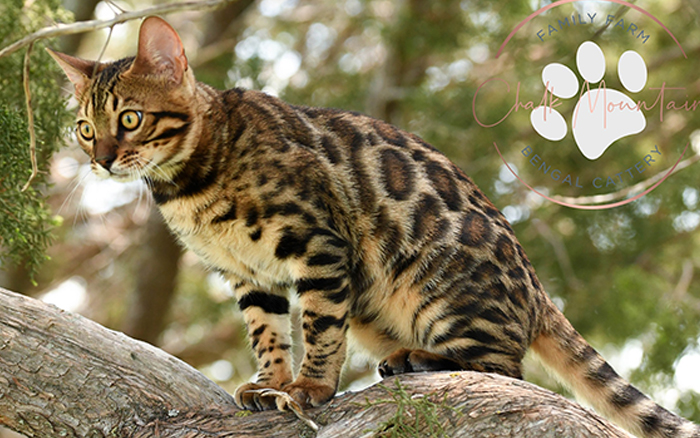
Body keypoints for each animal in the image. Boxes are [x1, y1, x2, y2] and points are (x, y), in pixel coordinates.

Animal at [50, 15, 700, 436]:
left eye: (130, 119)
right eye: (85, 128)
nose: (100, 159)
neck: (189, 186)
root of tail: (538, 291)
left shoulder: (318, 244)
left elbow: (318, 327)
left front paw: (309, 388)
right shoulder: (247, 274)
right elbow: (267, 331)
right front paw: (270, 381)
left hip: (436, 285)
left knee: (503, 368)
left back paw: (418, 360)